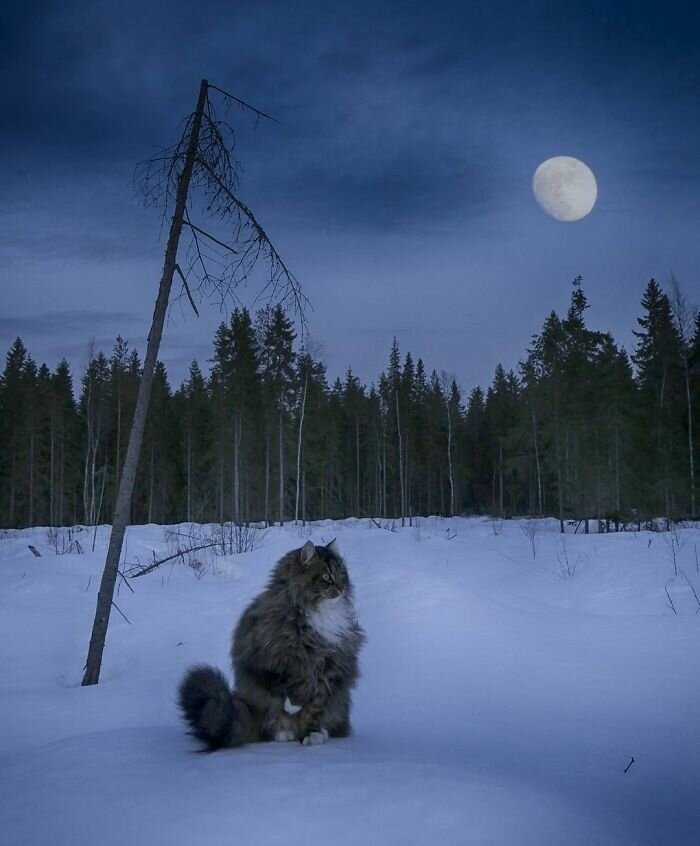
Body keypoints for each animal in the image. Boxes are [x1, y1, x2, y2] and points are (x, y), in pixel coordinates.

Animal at [176, 540, 366, 752]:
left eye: (341, 573)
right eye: (326, 576)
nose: (342, 588)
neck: (320, 613)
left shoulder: (329, 666)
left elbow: (312, 709)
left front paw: (310, 734)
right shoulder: (272, 656)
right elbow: (286, 683)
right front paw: (294, 705)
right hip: (257, 699)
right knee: (269, 721)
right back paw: (284, 733)